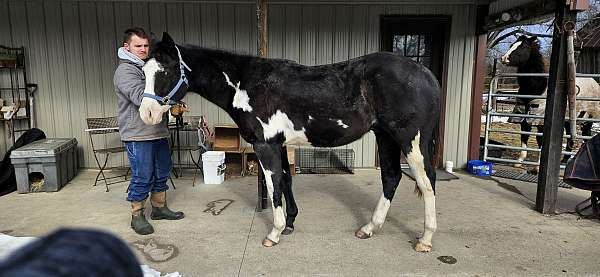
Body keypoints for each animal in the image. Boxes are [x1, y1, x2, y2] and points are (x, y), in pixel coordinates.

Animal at [500, 35, 600, 168]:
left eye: (524, 46)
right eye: (512, 45)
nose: (503, 58)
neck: (537, 86)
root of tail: (595, 84)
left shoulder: (541, 121)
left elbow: (541, 141)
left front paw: (537, 166)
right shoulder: (524, 116)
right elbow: (524, 136)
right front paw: (519, 161)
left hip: (588, 120)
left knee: (586, 137)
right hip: (569, 121)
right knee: (571, 137)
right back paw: (564, 161)